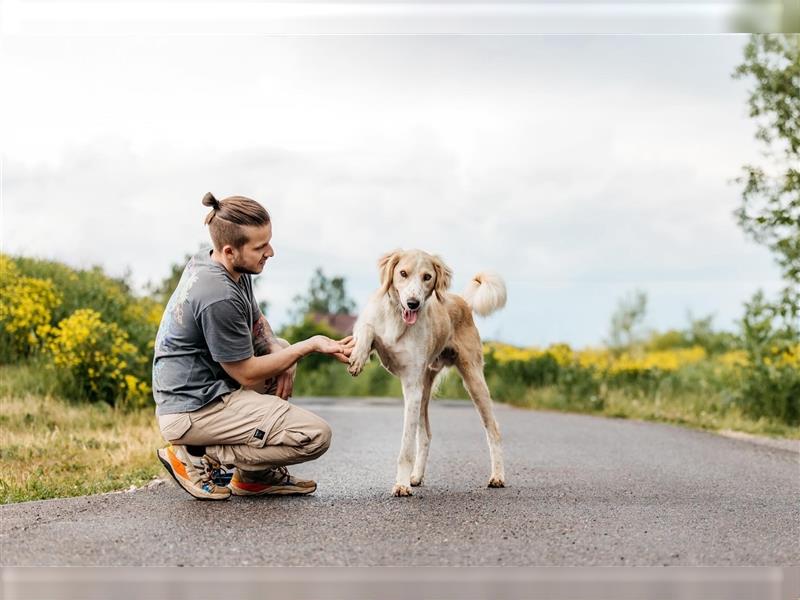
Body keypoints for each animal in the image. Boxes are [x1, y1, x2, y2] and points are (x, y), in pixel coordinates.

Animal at [348, 248, 506, 496]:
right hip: (425, 390)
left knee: (493, 429)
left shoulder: (411, 387)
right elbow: (367, 329)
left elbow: (406, 447)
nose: (413, 304)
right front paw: (358, 356)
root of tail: (463, 301)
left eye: (427, 277)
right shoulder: (372, 333)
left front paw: (401, 484)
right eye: (402, 273)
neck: (397, 317)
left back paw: (497, 476)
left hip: (472, 381)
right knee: (426, 435)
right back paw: (416, 476)